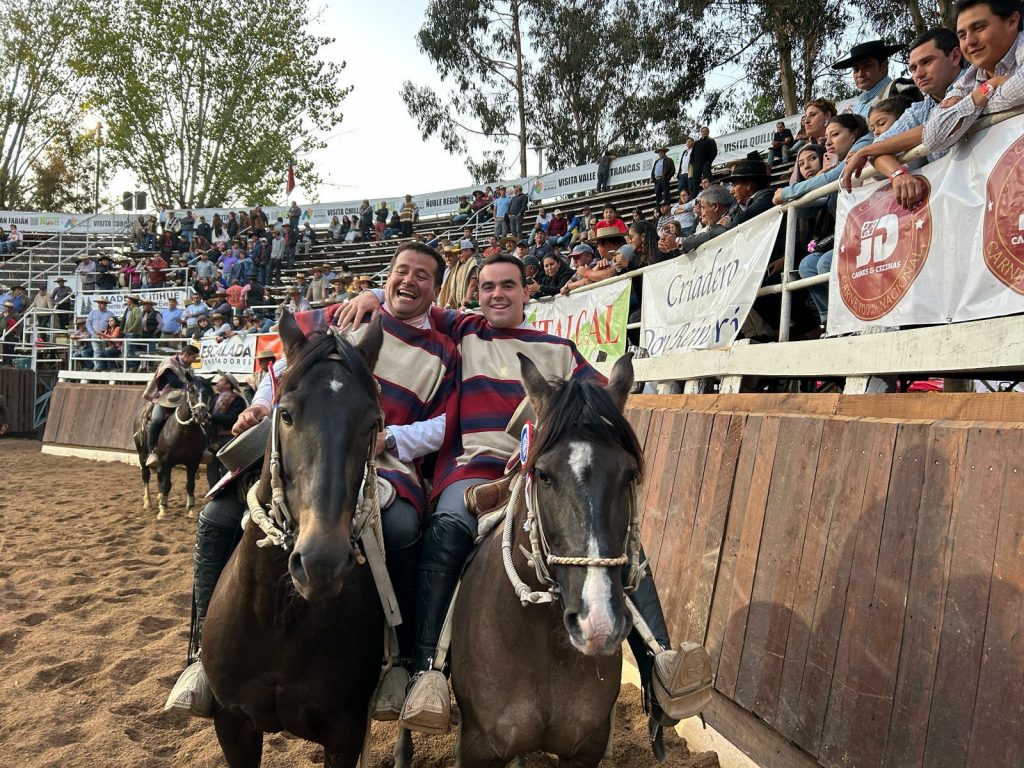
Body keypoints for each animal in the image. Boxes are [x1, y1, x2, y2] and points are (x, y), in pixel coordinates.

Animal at [134, 376, 214, 520]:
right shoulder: (166, 462)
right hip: (142, 455)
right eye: (191, 390)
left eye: (208, 391)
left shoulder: (192, 463)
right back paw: (148, 502)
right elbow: (167, 485)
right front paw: (162, 510)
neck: (184, 432)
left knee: (158, 477)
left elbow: (190, 485)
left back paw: (159, 497)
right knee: (146, 476)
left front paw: (191, 509)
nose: (202, 415)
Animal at [199, 313, 387, 768]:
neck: (277, 619)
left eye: (372, 423)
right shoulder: (231, 723)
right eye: (284, 414)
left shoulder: (345, 734)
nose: (321, 562)